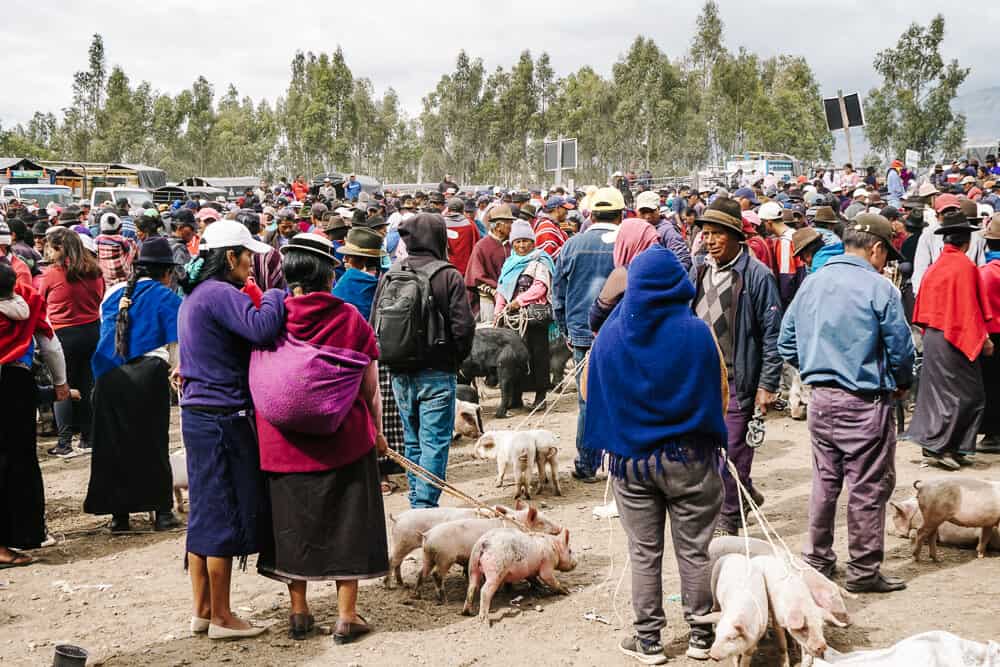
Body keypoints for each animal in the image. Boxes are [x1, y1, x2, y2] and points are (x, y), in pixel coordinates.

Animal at [384, 500, 564, 588]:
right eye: (542, 522)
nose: (560, 528)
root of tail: (397, 518)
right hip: (402, 542)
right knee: (392, 561)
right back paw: (389, 586)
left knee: (398, 563)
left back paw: (403, 584)